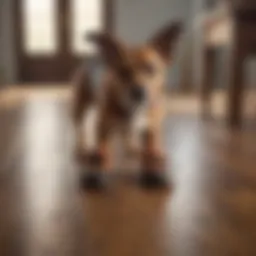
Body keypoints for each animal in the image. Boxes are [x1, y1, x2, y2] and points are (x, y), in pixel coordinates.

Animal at [71, 21, 182, 183]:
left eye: (151, 69)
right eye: (123, 71)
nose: (138, 91)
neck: (134, 108)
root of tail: (93, 58)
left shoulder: (152, 127)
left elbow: (151, 144)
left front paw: (152, 161)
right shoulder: (103, 126)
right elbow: (103, 146)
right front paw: (101, 163)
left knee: (128, 135)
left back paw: (134, 148)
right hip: (79, 107)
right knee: (79, 127)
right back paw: (81, 147)